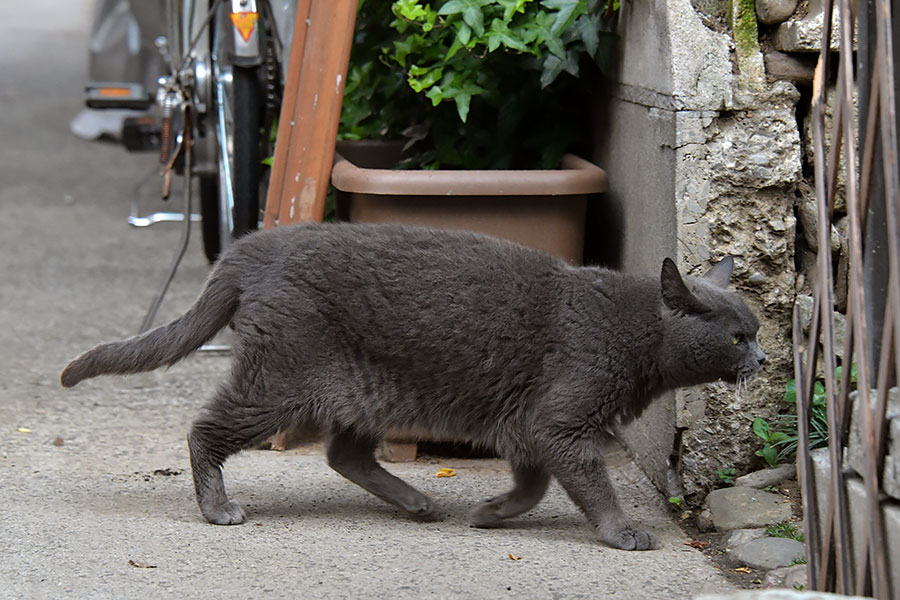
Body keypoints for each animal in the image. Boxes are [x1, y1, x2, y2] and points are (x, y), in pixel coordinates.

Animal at [61, 223, 768, 552]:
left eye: (757, 331)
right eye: (738, 336)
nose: (762, 359)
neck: (632, 332)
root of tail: (250, 248)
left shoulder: (530, 426)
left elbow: (533, 484)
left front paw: (490, 513)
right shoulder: (559, 422)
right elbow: (592, 483)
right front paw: (622, 533)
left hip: (361, 389)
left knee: (344, 455)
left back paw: (416, 501)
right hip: (281, 381)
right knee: (204, 430)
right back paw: (217, 507)